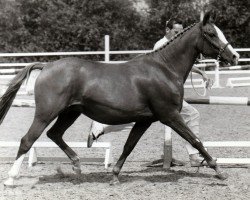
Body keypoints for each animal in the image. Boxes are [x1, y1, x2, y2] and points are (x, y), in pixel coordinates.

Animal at [0, 11, 238, 186]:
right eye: (211, 33)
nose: (234, 56)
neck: (164, 69)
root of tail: (46, 66)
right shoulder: (169, 116)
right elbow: (195, 140)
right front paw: (219, 171)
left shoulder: (144, 120)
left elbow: (128, 146)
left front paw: (114, 175)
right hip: (46, 113)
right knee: (27, 140)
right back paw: (12, 179)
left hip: (70, 113)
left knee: (54, 134)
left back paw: (77, 165)